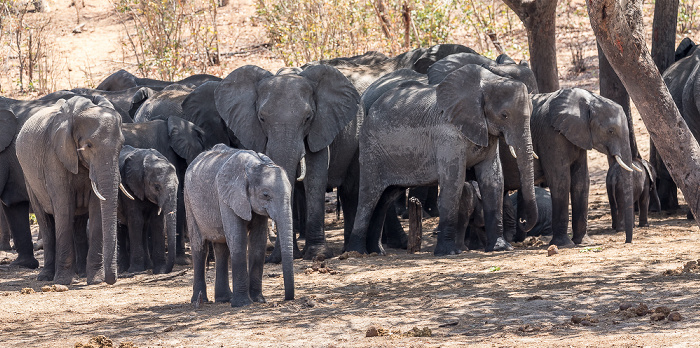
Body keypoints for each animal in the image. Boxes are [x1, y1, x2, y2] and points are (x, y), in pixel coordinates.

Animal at [16, 96, 125, 286]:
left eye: (121, 146)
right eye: (88, 145)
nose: (111, 280)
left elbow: (96, 208)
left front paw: (95, 280)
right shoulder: (53, 156)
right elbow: (63, 206)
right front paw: (62, 281)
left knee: (79, 223)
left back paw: (80, 273)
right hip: (28, 178)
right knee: (45, 222)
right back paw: (46, 276)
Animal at [117, 145, 178, 274]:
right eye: (156, 187)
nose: (167, 270)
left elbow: (157, 222)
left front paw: (159, 270)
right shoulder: (128, 185)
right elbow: (136, 221)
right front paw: (135, 270)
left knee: (144, 228)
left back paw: (148, 266)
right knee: (121, 227)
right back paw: (123, 270)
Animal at [185, 144, 294, 308]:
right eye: (265, 195)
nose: (288, 298)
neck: (254, 166)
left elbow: (258, 242)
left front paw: (258, 300)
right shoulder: (227, 197)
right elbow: (238, 239)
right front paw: (243, 304)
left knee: (221, 248)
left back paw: (224, 299)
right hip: (188, 200)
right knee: (200, 247)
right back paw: (199, 301)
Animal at [348, 64, 540, 256]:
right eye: (504, 115)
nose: (523, 221)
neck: (487, 81)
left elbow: (494, 180)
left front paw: (500, 247)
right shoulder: (448, 134)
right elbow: (453, 183)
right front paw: (448, 252)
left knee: (385, 198)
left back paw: (377, 251)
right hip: (371, 150)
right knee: (368, 198)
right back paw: (357, 252)